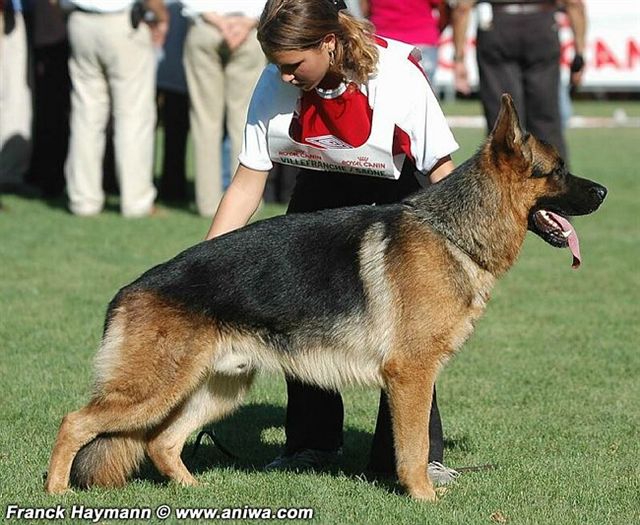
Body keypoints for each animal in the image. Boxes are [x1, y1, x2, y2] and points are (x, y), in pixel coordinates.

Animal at [43, 95, 604, 500]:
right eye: (556, 170)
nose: (603, 193)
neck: (453, 233)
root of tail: (129, 290)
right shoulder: (411, 375)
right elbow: (413, 446)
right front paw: (423, 498)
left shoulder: (416, 376)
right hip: (153, 390)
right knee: (74, 422)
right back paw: (55, 493)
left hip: (218, 388)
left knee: (161, 442)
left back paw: (194, 490)